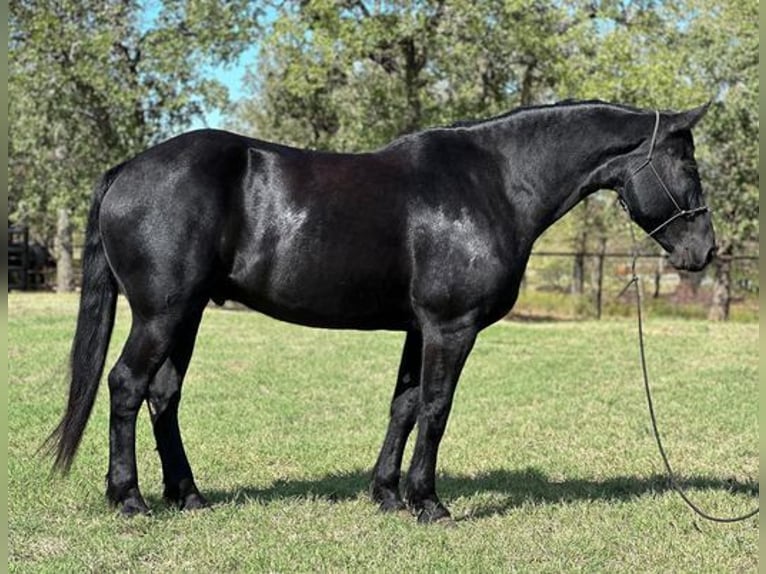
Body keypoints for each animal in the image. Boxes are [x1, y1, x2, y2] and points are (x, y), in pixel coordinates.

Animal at [48, 100, 716, 528]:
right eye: (688, 164)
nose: (703, 251)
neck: (493, 183)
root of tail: (127, 170)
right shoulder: (451, 327)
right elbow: (437, 408)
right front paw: (429, 504)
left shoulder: (419, 329)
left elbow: (404, 405)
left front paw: (388, 496)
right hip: (161, 313)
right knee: (127, 385)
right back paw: (129, 499)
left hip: (185, 315)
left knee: (163, 394)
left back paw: (187, 496)